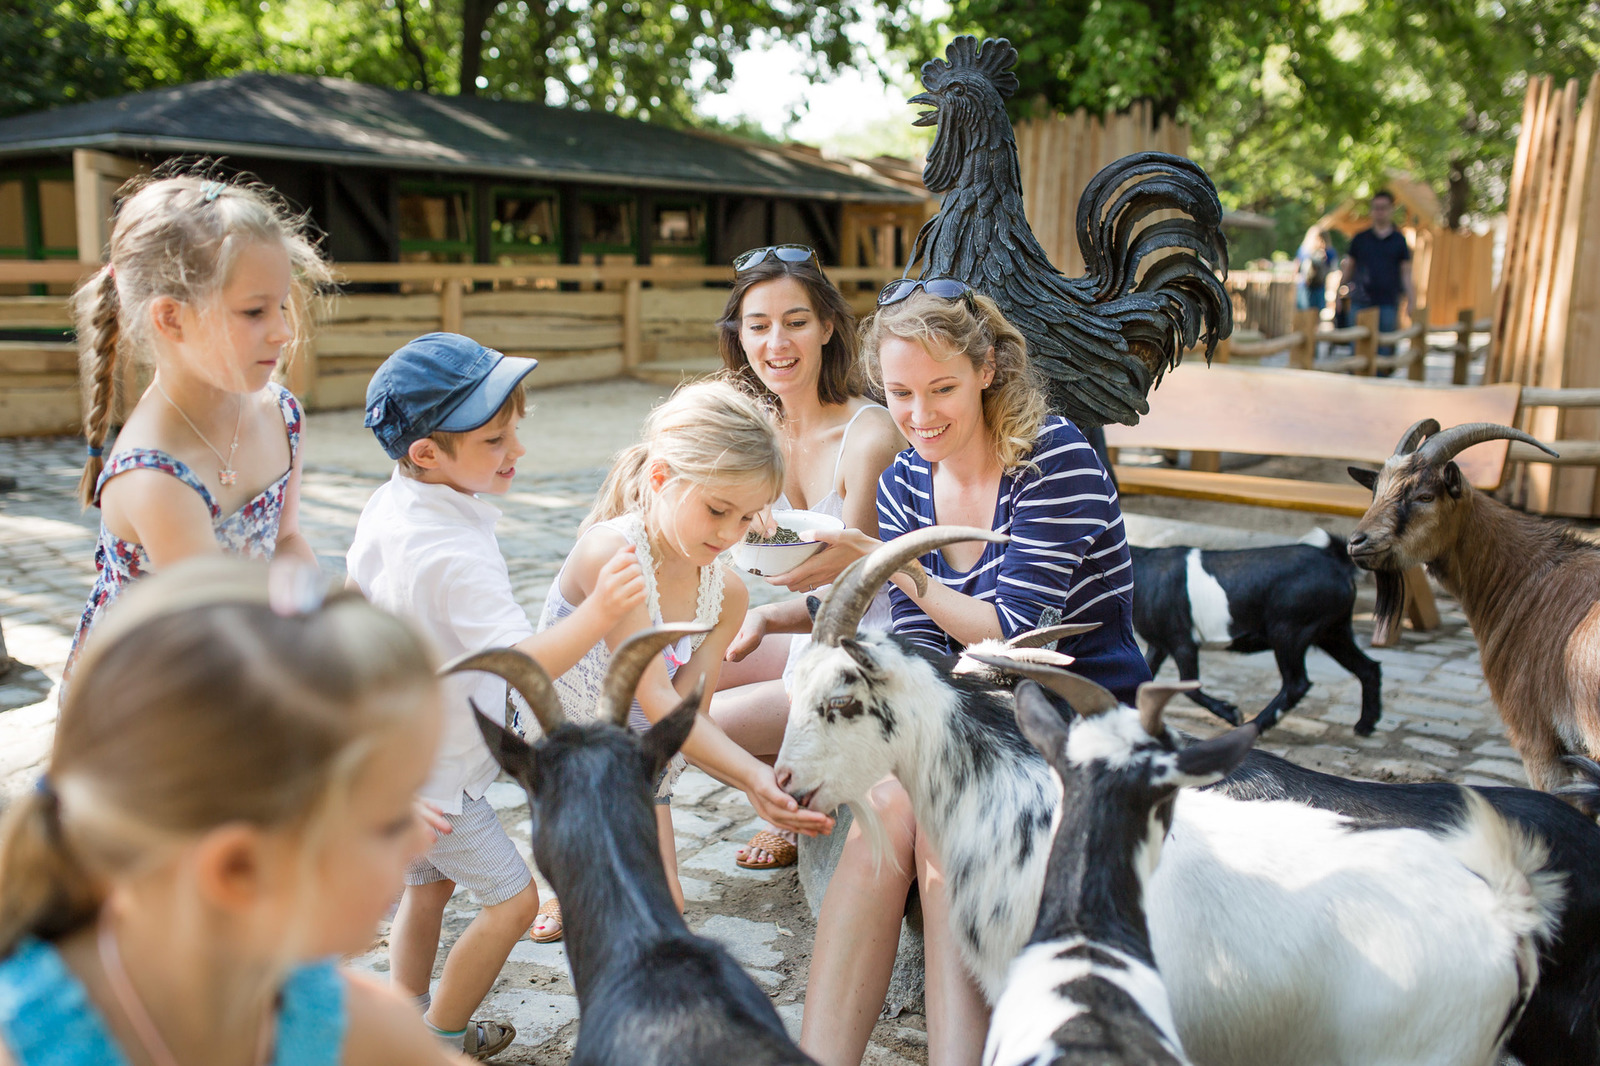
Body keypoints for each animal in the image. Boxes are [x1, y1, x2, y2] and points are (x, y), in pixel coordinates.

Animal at [1132, 528, 1382, 729]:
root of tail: (1336, 562)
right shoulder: (1159, 645)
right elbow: (1144, 678)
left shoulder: (1181, 642)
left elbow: (1189, 687)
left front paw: (1233, 713)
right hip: (1332, 632)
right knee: (1367, 668)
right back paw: (1365, 725)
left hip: (1288, 632)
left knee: (1296, 684)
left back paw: (1255, 725)